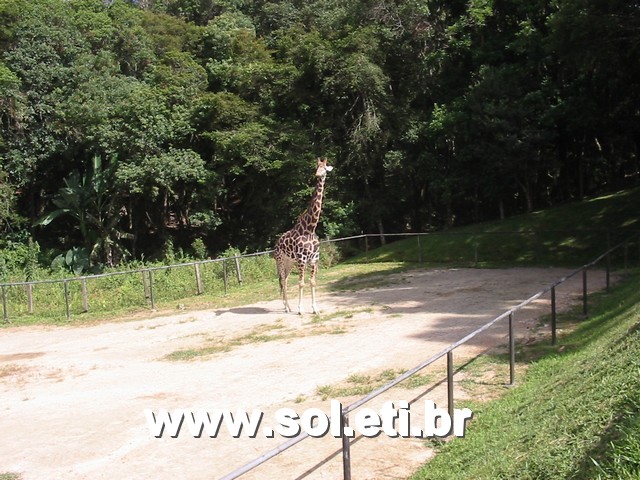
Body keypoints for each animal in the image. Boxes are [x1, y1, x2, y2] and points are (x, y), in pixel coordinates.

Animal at [272, 158, 332, 316]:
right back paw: (288, 308)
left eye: (325, 168)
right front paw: (300, 310)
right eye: (317, 167)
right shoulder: (302, 259)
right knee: (282, 280)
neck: (310, 228)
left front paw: (315, 309)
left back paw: (287, 307)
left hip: (290, 262)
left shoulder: (314, 259)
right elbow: (301, 283)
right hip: (281, 261)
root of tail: (276, 243)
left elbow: (312, 282)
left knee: (285, 280)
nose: (318, 175)